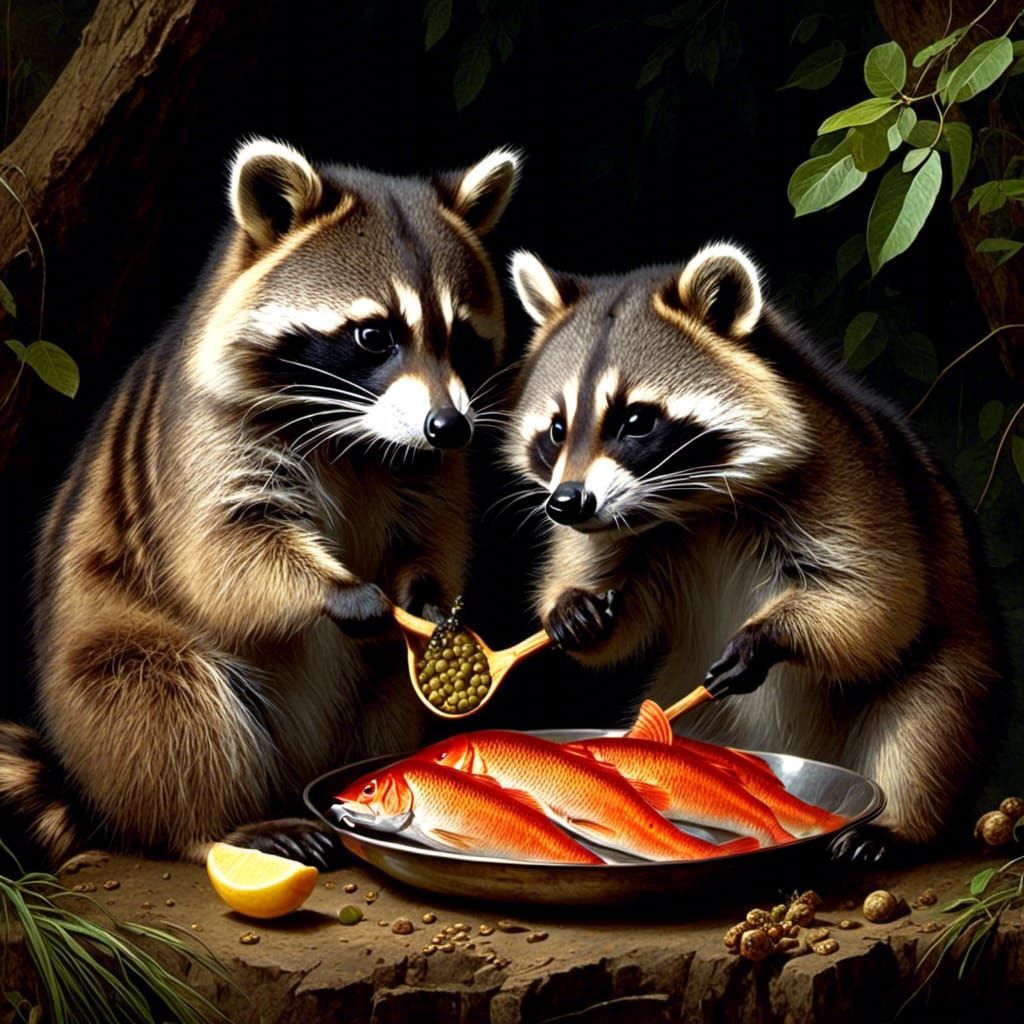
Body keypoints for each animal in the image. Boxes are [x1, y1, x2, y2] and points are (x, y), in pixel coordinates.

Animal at [0, 138, 520, 869]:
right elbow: (225, 549)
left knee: (387, 682)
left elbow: (430, 537)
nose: (449, 426)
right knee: (164, 697)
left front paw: (424, 595)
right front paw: (336, 589)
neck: (355, 435)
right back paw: (211, 825)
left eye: (461, 338)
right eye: (374, 336)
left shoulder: (432, 468)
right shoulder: (205, 438)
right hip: (107, 674)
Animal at [506, 242, 1004, 861]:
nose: (565, 503)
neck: (689, 505)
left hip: (956, 667)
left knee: (927, 732)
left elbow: (876, 596)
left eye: (636, 420)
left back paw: (899, 824)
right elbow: (617, 605)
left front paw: (767, 636)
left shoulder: (849, 472)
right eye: (556, 429)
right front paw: (575, 609)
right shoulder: (613, 526)